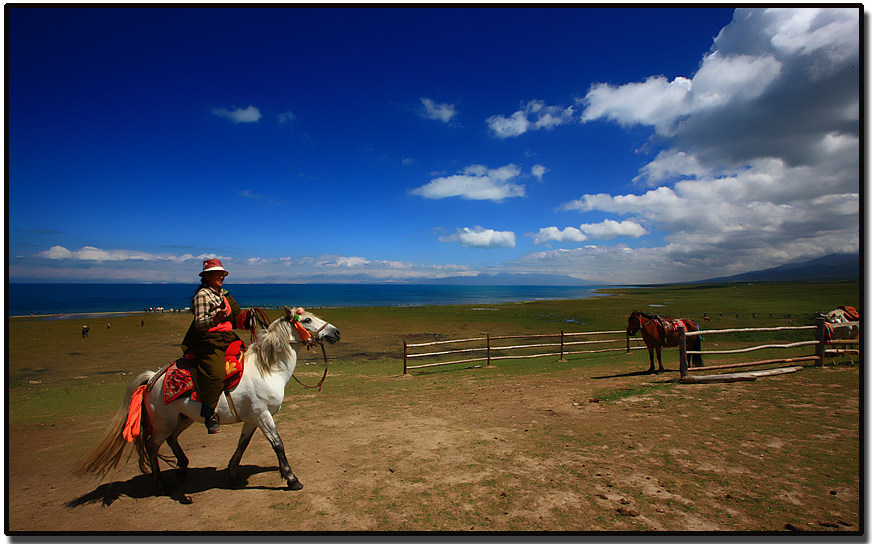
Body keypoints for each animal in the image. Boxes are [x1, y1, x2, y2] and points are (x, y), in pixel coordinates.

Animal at [77, 306, 340, 492]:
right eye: (307, 320)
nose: (336, 332)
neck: (268, 369)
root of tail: (153, 378)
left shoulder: (252, 419)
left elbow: (242, 444)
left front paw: (232, 473)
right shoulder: (262, 415)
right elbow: (278, 444)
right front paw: (292, 479)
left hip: (183, 419)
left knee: (172, 440)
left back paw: (183, 468)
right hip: (164, 422)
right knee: (153, 446)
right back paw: (161, 483)